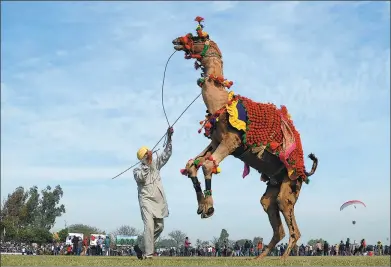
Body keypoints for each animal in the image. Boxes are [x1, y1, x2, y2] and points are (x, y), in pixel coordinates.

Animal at [172, 17, 318, 260]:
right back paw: (259, 258)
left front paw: (209, 208)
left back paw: (283, 258)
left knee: (292, 226)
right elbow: (193, 164)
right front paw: (202, 206)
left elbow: (208, 165)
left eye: (197, 37)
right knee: (272, 213)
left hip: (290, 187)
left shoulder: (232, 142)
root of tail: (305, 171)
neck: (223, 104)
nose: (176, 41)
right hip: (274, 187)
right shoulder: (215, 140)